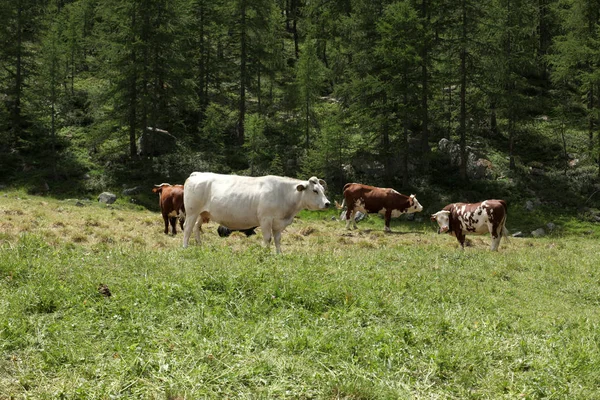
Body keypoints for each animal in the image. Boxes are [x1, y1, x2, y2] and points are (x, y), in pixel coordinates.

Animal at [184, 172, 330, 253]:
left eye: (323, 189)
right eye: (315, 190)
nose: (327, 203)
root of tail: (197, 174)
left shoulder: (278, 223)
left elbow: (277, 239)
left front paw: (279, 254)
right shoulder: (265, 219)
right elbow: (268, 238)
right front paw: (265, 254)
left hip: (203, 213)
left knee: (196, 227)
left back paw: (199, 245)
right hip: (192, 212)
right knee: (187, 228)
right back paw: (185, 247)